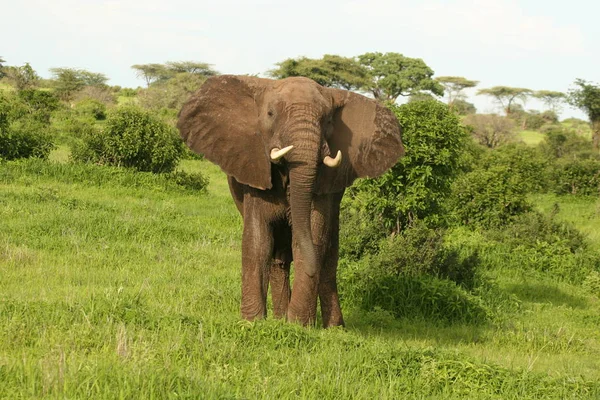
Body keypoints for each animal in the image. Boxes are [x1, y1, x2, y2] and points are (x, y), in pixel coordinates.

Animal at [177, 73, 404, 326]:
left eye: (328, 121)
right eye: (270, 114)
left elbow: (312, 237)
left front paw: (299, 325)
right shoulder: (254, 168)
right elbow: (258, 240)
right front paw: (253, 323)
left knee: (328, 255)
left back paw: (331, 327)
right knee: (280, 258)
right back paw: (279, 319)